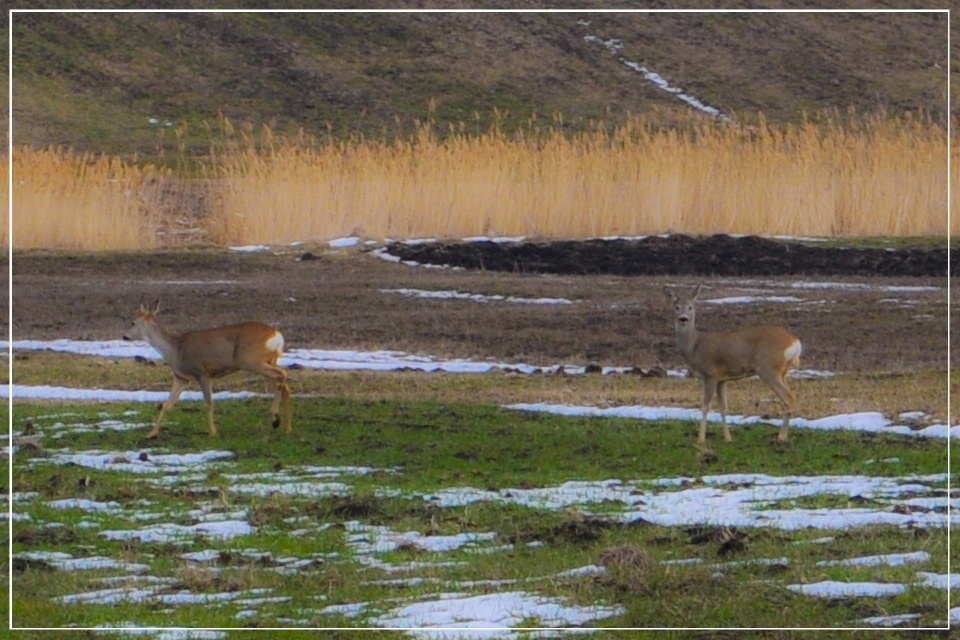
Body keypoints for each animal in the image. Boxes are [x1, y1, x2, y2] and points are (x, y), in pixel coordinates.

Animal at [123, 298, 292, 438]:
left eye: (132, 322)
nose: (124, 336)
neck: (175, 350)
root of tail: (275, 334)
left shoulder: (202, 372)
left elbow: (208, 403)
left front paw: (212, 433)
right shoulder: (181, 378)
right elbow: (167, 404)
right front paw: (151, 434)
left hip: (251, 360)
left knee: (281, 374)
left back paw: (275, 419)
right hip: (269, 360)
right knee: (284, 385)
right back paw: (286, 427)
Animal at [660, 282, 804, 442]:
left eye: (690, 307)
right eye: (676, 307)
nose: (683, 318)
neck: (694, 346)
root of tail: (794, 342)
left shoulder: (710, 373)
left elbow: (705, 406)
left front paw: (701, 439)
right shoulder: (722, 379)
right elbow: (723, 407)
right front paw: (728, 438)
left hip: (768, 368)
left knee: (789, 399)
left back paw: (781, 437)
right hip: (782, 372)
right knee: (790, 398)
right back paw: (781, 436)